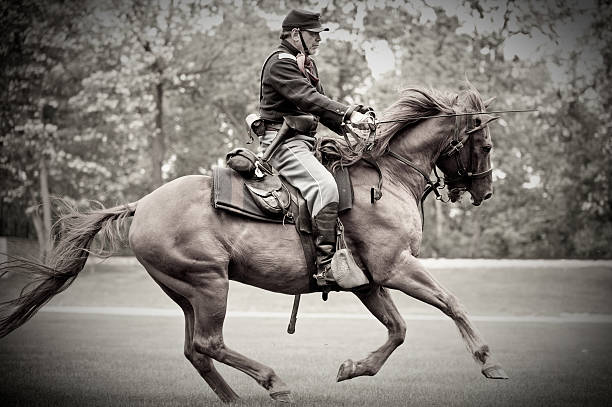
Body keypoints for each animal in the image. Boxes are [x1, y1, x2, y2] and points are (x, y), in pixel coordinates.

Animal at [0, 84, 506, 404]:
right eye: (485, 146)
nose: (484, 192)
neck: (387, 175)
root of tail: (141, 205)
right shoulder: (396, 267)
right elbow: (450, 303)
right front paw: (488, 362)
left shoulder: (367, 282)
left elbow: (398, 330)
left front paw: (353, 369)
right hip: (209, 283)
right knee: (209, 342)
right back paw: (273, 381)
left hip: (186, 292)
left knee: (196, 351)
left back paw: (237, 398)